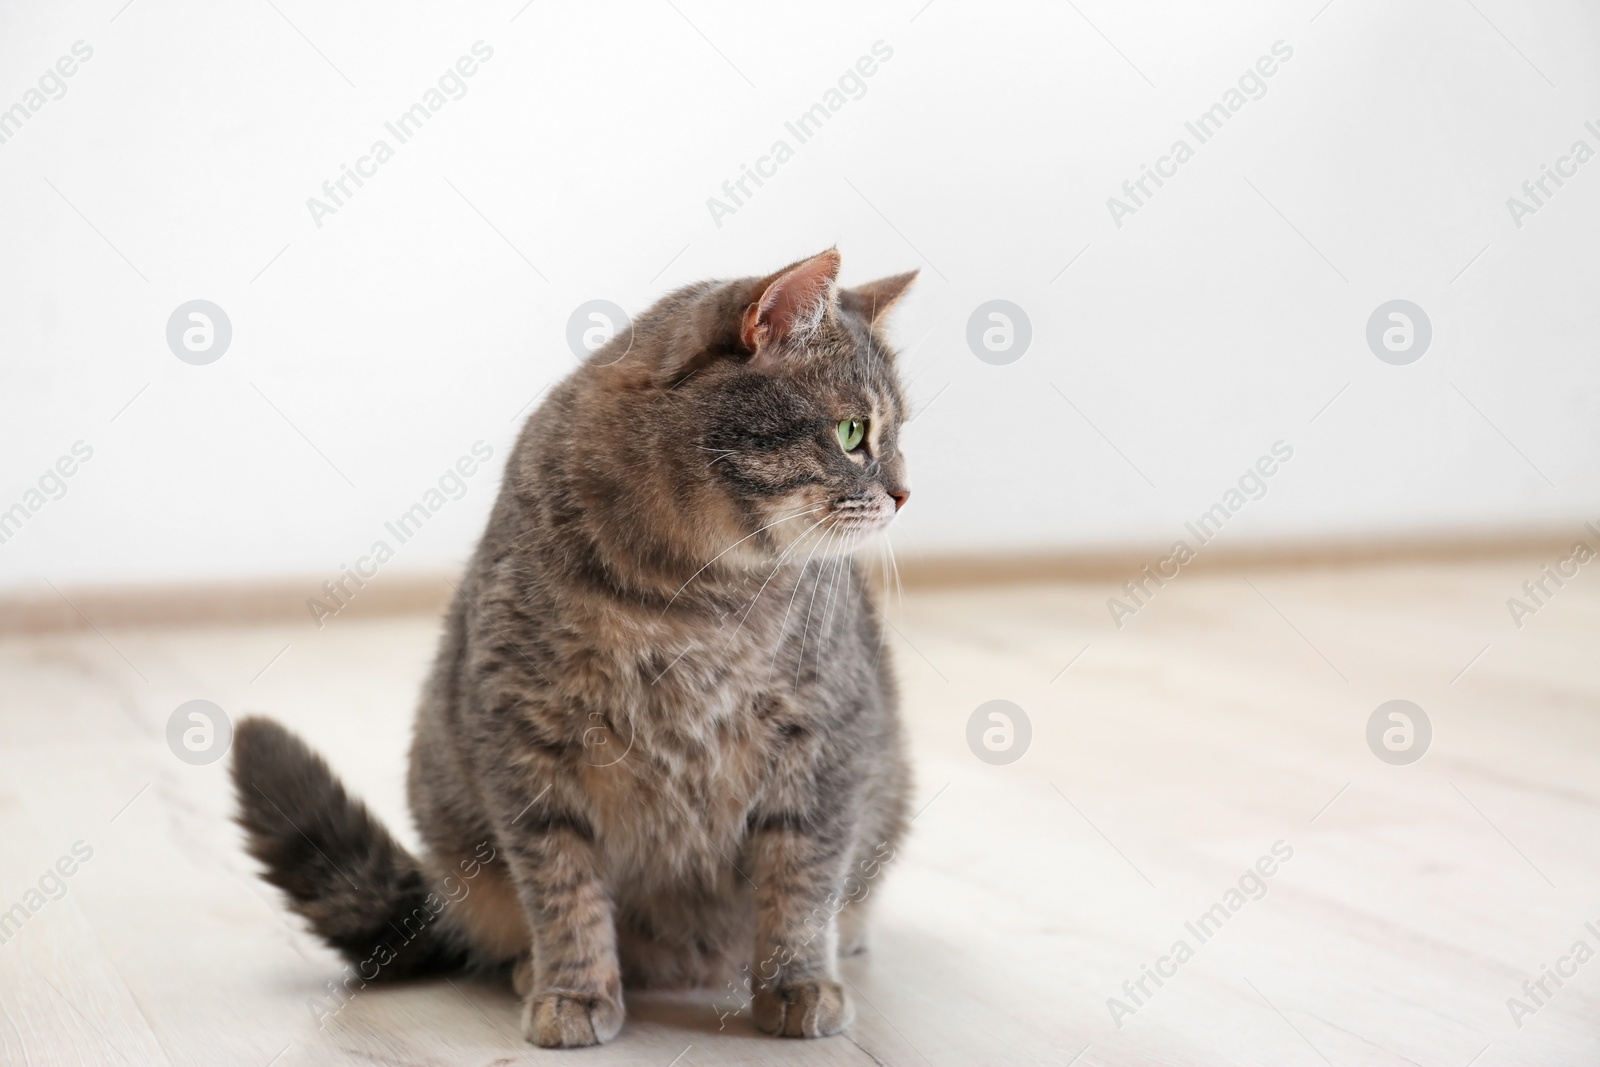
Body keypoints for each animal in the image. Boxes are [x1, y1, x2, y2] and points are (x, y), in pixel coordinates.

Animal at [232, 252, 921, 1049]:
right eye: (851, 431)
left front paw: (798, 983)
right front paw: (575, 989)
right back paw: (531, 967)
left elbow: (802, 882)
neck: (695, 599)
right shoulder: (526, 744)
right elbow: (564, 888)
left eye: (897, 434)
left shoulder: (825, 739)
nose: (904, 493)